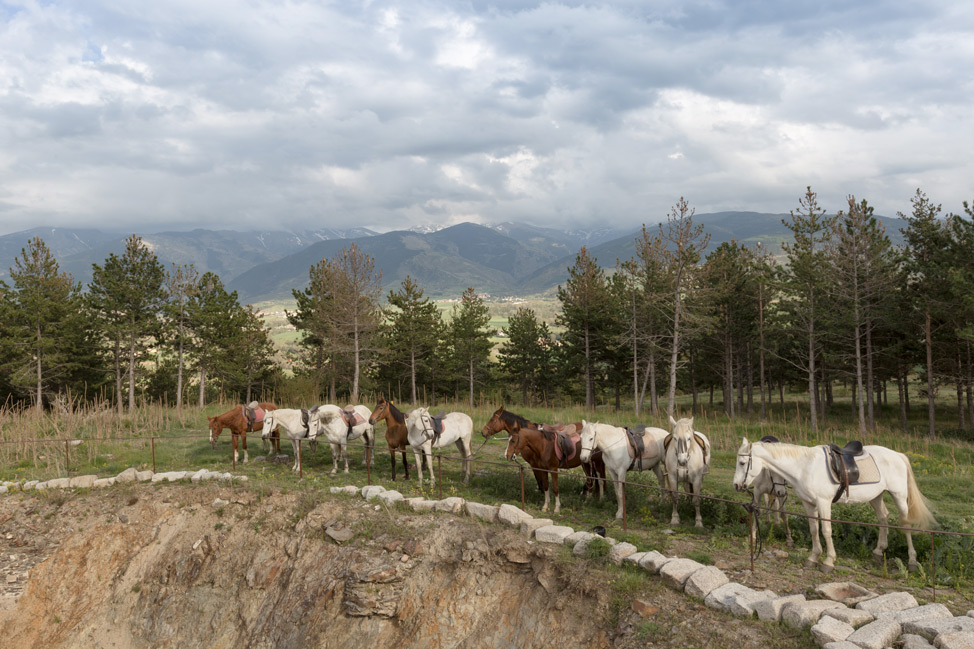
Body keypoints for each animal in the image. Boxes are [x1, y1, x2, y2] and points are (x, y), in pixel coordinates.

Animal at [732, 436, 936, 572]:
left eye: (742, 463)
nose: (736, 485)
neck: (804, 467)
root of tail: (898, 455)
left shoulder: (824, 503)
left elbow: (826, 531)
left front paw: (829, 561)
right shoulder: (809, 504)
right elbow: (814, 530)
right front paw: (813, 557)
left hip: (899, 496)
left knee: (905, 524)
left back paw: (911, 561)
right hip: (876, 496)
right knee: (883, 518)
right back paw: (879, 552)